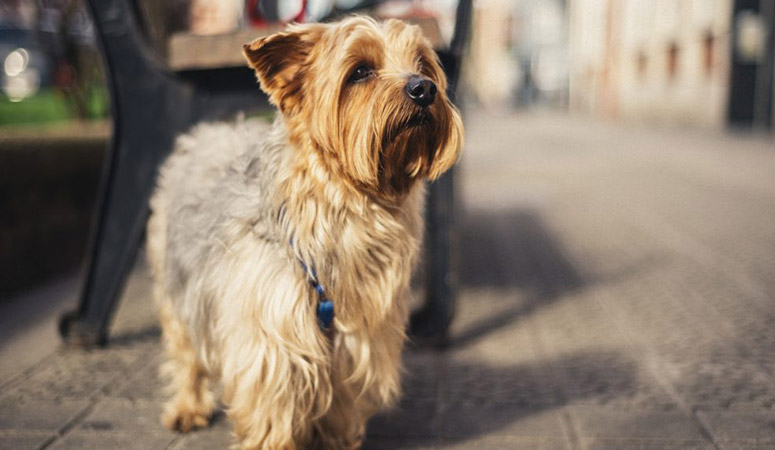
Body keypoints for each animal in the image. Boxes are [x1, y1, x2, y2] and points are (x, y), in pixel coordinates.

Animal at [149, 14, 464, 450]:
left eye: (424, 65)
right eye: (360, 71)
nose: (424, 88)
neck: (348, 204)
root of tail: (207, 133)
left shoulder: (356, 339)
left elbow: (341, 404)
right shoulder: (272, 339)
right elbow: (271, 407)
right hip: (175, 280)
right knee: (185, 352)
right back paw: (187, 406)